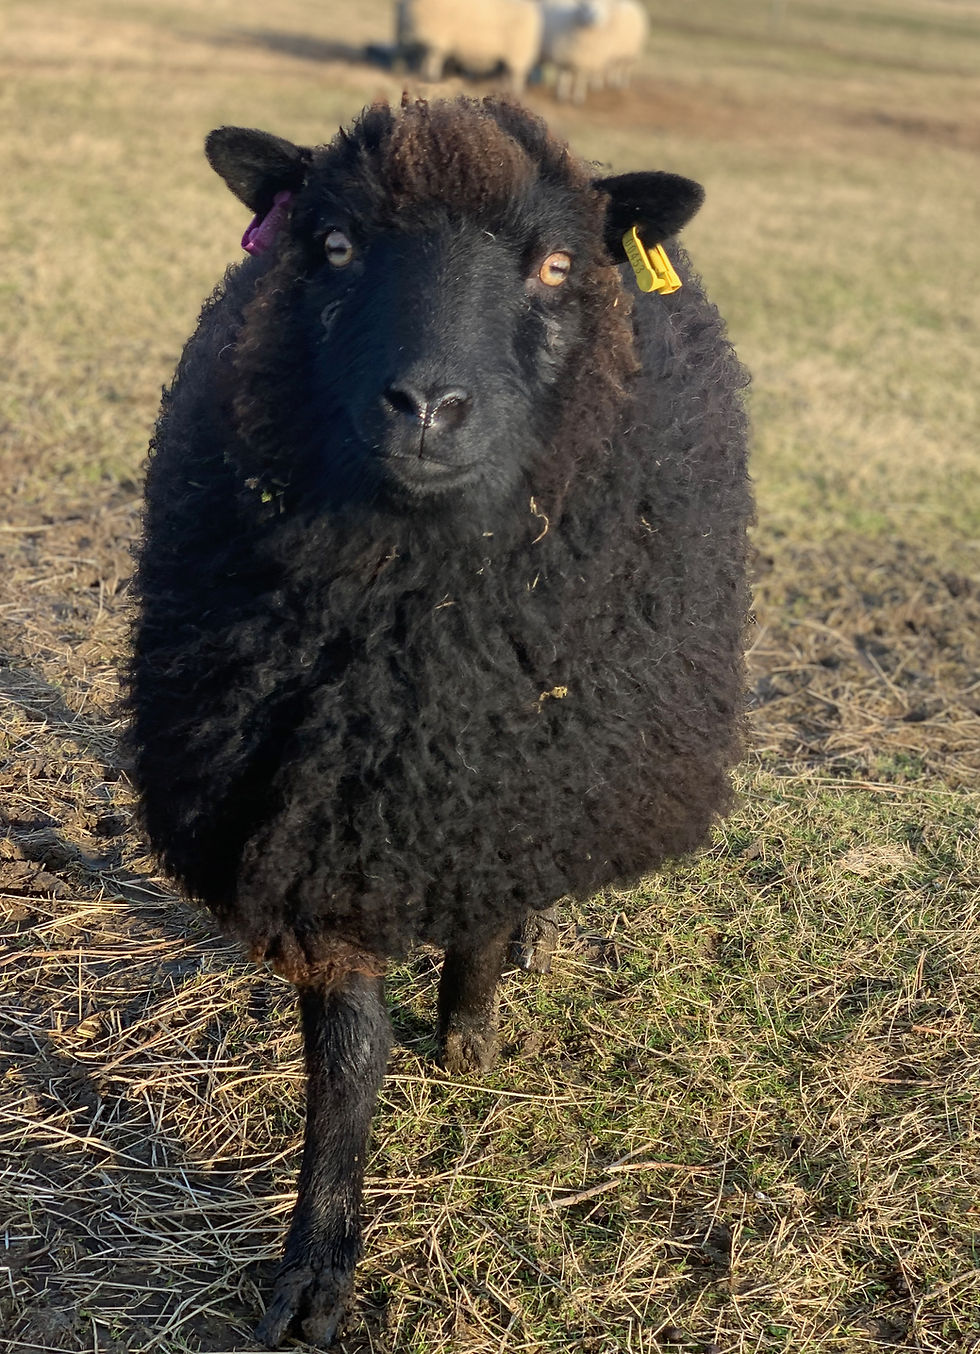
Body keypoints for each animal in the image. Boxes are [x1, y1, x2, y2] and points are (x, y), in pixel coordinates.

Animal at [129, 95, 752, 1348]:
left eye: (554, 265)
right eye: (332, 245)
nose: (427, 406)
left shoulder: (511, 777)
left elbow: (481, 922)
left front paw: (468, 1037)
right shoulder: (317, 819)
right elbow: (346, 1056)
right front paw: (314, 1267)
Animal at [396, 0, 543, 91]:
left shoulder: (439, 38)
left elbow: (434, 60)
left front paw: (431, 78)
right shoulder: (427, 40)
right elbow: (425, 59)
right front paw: (423, 76)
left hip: (519, 51)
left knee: (517, 75)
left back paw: (515, 92)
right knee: (507, 73)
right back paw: (505, 90)